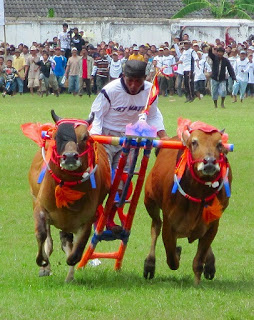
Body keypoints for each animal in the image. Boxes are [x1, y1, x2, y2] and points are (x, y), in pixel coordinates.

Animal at [28, 111, 110, 282]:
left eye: (85, 136)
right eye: (57, 136)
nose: (70, 157)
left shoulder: (86, 219)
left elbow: (76, 251)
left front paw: (70, 273)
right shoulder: (40, 206)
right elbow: (42, 234)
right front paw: (42, 262)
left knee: (67, 242)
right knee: (50, 241)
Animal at [143, 122, 232, 282]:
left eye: (220, 144)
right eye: (194, 142)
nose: (209, 162)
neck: (198, 193)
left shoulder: (213, 224)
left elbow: (198, 260)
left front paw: (198, 281)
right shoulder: (169, 224)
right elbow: (172, 259)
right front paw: (177, 252)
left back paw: (210, 264)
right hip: (150, 201)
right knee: (155, 227)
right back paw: (149, 265)